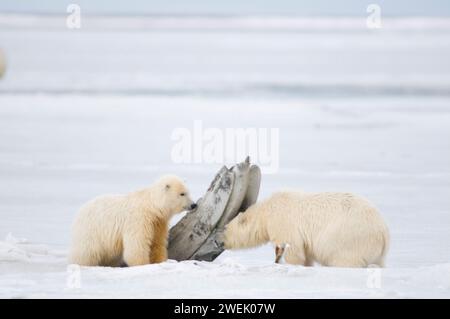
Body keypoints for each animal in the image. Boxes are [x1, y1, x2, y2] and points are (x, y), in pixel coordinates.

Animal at [225, 191, 390, 268]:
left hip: (348, 239)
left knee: (343, 259)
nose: (221, 241)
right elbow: (306, 253)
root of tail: (383, 232)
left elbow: (294, 250)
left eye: (225, 229)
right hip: (376, 252)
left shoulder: (284, 223)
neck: (266, 213)